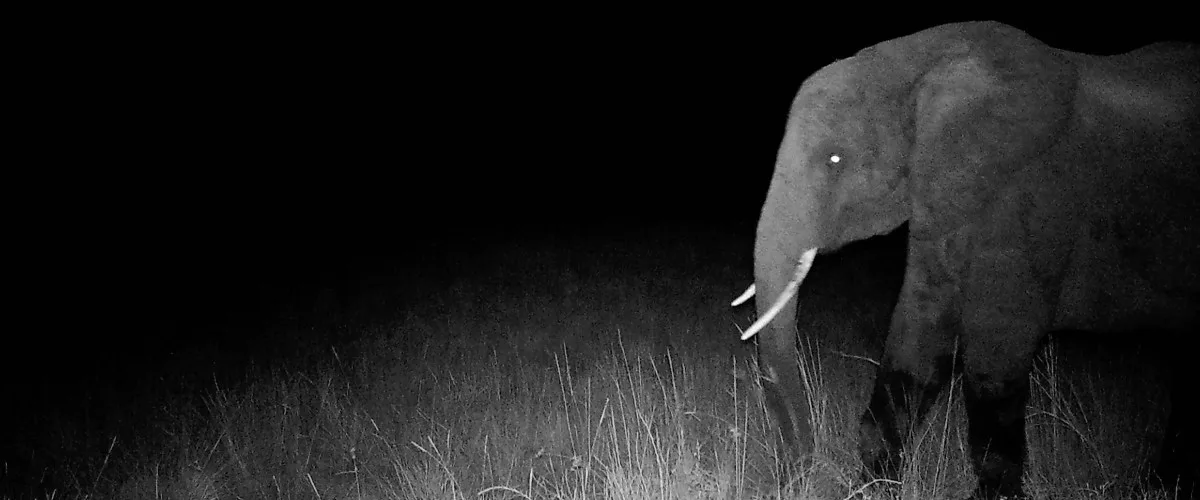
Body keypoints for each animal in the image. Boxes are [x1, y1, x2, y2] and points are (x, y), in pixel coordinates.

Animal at [732, 21, 1199, 498]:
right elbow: (919, 333)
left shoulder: (1026, 196)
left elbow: (997, 348)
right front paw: (872, 488)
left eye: (834, 159)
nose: (804, 471)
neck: (917, 63)